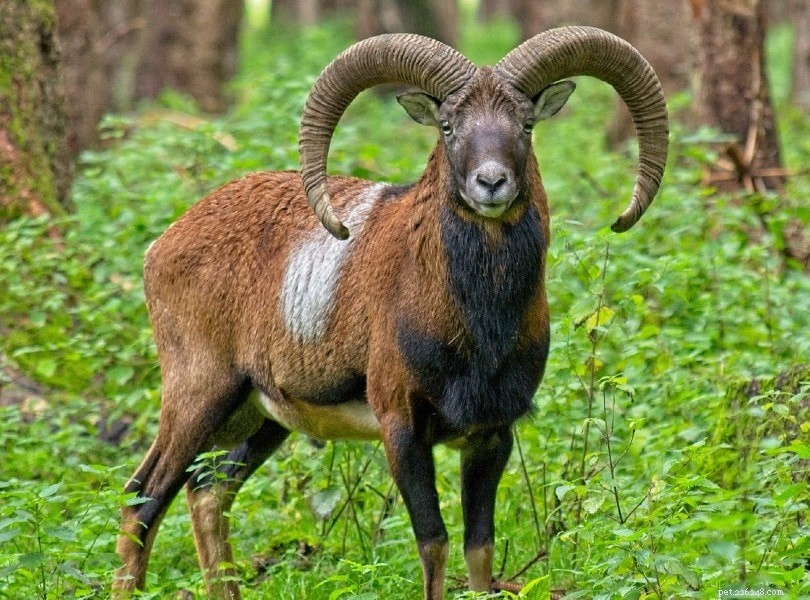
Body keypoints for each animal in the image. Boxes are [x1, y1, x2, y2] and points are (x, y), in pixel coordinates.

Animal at [113, 27, 668, 600]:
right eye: (448, 125)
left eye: (526, 123)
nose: (491, 183)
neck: (479, 327)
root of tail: (164, 245)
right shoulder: (402, 429)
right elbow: (433, 544)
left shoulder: (492, 436)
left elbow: (478, 551)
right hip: (199, 398)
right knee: (143, 501)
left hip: (259, 420)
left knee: (207, 494)